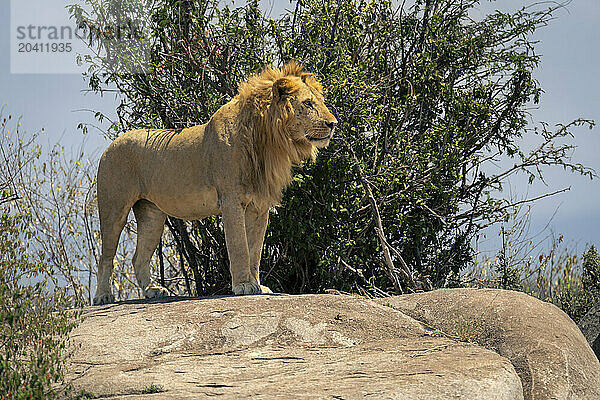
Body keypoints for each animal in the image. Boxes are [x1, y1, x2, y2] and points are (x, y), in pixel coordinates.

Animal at [93, 62, 338, 304]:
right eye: (308, 103)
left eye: (320, 101)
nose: (333, 124)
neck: (267, 141)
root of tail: (111, 145)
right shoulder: (231, 200)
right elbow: (239, 246)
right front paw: (244, 285)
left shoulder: (259, 206)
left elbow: (255, 250)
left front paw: (258, 286)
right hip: (114, 208)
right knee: (106, 255)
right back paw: (103, 297)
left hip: (151, 214)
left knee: (138, 257)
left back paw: (153, 290)